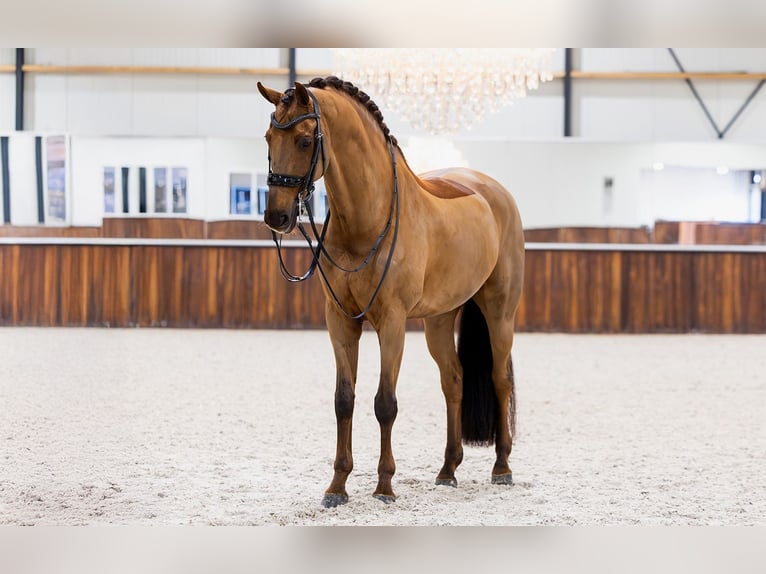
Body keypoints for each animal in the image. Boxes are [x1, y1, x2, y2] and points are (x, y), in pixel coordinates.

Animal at [257, 76, 525, 508]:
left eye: (303, 140)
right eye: (268, 137)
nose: (276, 217)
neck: (366, 221)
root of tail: (495, 192)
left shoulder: (392, 323)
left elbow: (385, 403)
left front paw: (384, 487)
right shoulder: (339, 321)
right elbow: (343, 400)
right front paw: (337, 487)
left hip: (499, 313)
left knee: (500, 380)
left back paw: (502, 467)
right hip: (439, 320)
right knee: (454, 380)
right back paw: (447, 470)